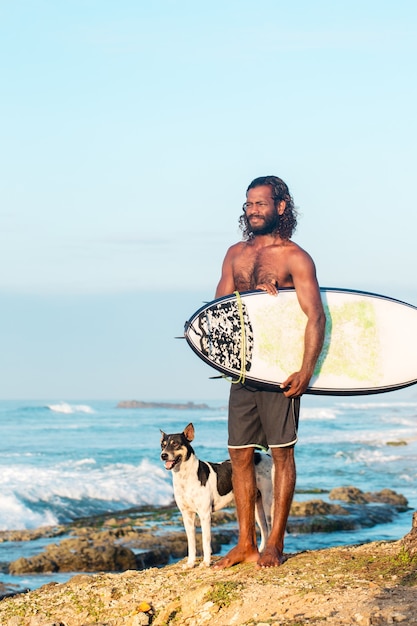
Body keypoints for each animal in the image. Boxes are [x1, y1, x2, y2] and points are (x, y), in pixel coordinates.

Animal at [159, 424, 272, 564]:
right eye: (162, 445)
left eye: (175, 444)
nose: (163, 455)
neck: (185, 476)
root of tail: (267, 456)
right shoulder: (187, 515)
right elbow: (191, 542)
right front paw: (190, 563)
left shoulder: (205, 514)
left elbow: (205, 540)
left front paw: (206, 562)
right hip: (256, 506)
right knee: (264, 529)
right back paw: (261, 551)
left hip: (268, 503)